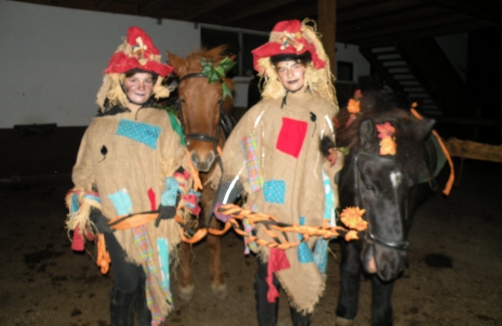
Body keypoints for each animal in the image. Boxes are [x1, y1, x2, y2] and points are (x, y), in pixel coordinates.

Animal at [166, 45, 234, 300]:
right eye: (182, 99)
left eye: (218, 100)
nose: (203, 159)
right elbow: (185, 240)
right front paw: (186, 282)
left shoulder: (211, 195)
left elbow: (213, 238)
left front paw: (217, 280)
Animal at [326, 91, 448, 326]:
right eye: (369, 185)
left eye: (410, 186)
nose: (392, 264)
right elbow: (350, 267)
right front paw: (346, 310)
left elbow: (382, 284)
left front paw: (381, 314)